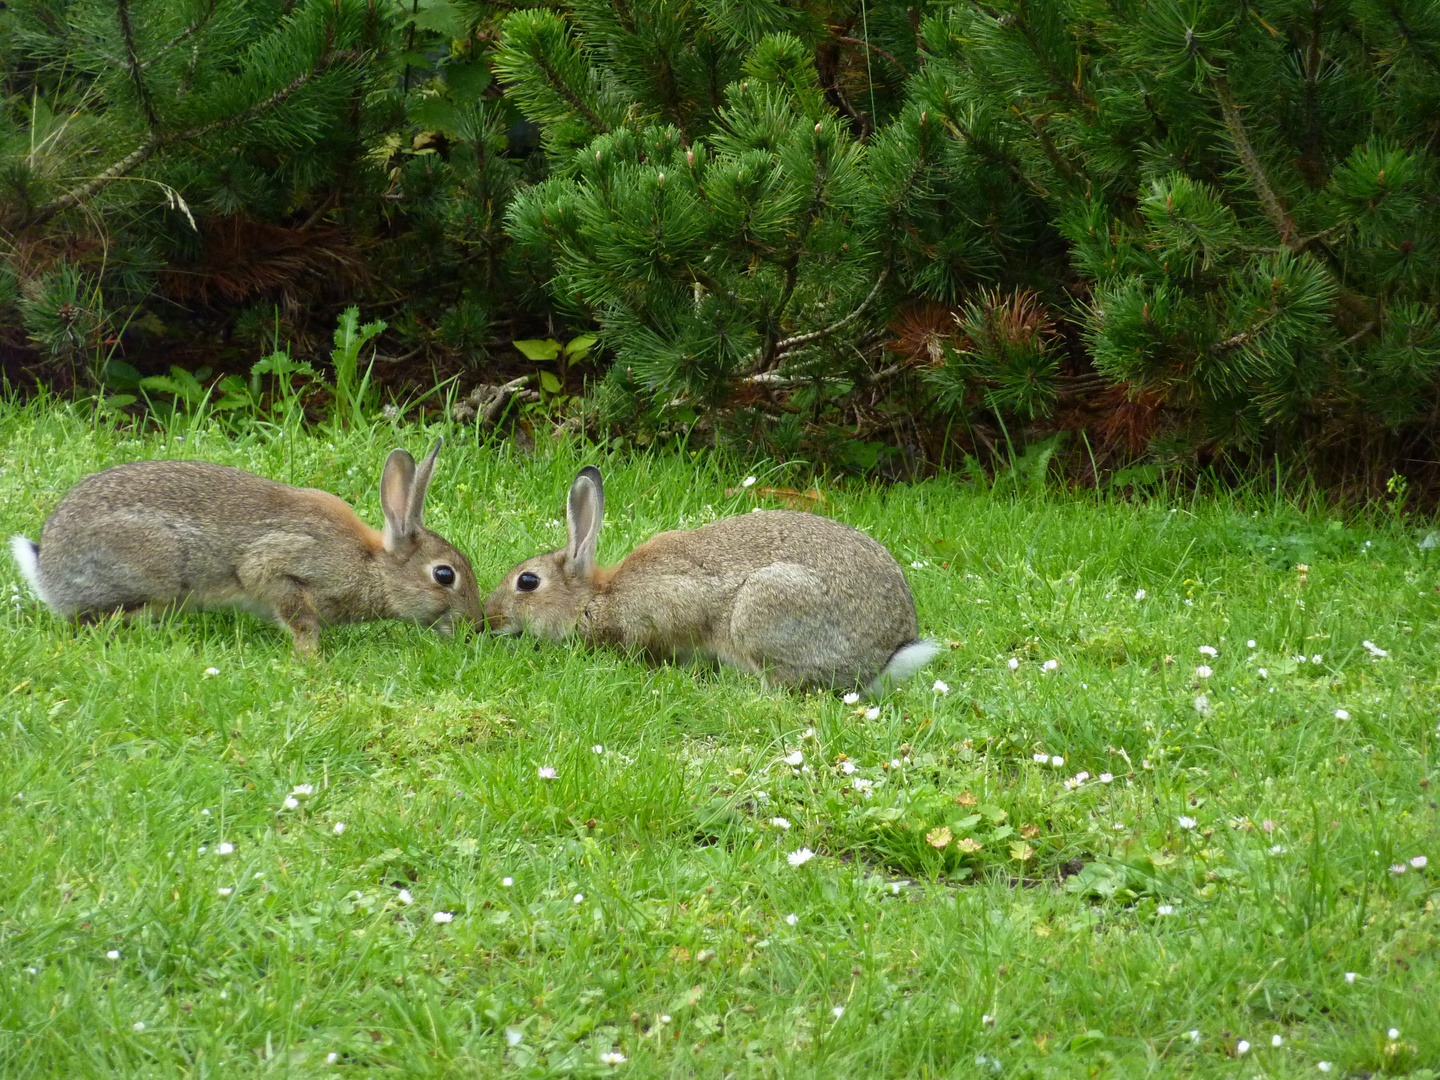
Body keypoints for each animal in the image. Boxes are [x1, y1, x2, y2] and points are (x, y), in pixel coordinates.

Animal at [8, 440, 483, 659]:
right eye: (444, 575)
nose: (474, 626)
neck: (372, 565)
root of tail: (47, 570)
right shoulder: (279, 569)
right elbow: (298, 617)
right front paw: (312, 660)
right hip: (153, 571)